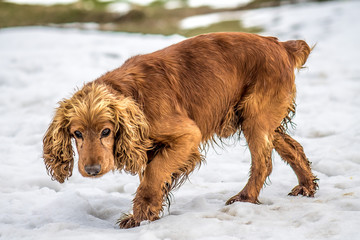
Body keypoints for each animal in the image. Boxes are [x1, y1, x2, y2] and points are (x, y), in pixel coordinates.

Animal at [43, 32, 318, 229]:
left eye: (106, 132)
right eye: (77, 134)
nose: (92, 170)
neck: (131, 96)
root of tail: (283, 46)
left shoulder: (187, 135)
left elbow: (153, 174)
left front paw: (140, 217)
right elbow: (153, 177)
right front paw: (147, 213)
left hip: (254, 118)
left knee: (263, 162)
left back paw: (245, 198)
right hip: (261, 120)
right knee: (294, 148)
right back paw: (306, 187)